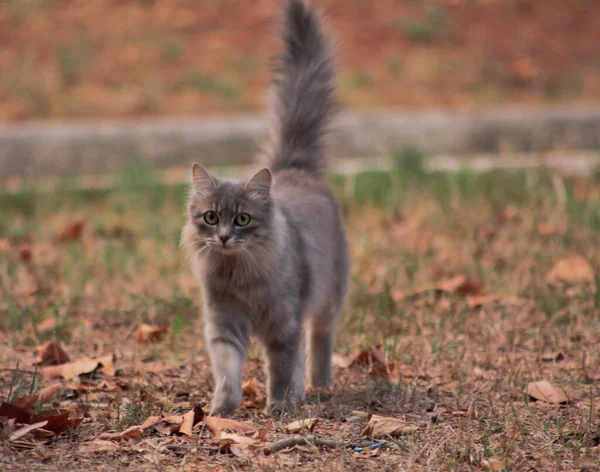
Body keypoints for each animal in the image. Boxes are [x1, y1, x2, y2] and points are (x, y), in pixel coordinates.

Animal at [180, 0, 350, 414]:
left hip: (329, 295)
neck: (240, 276)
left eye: (242, 219)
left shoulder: (283, 323)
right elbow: (228, 372)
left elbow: (283, 365)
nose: (225, 237)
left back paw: (318, 385)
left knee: (320, 338)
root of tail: (294, 167)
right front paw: (221, 409)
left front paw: (280, 406)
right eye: (211, 218)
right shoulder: (224, 326)